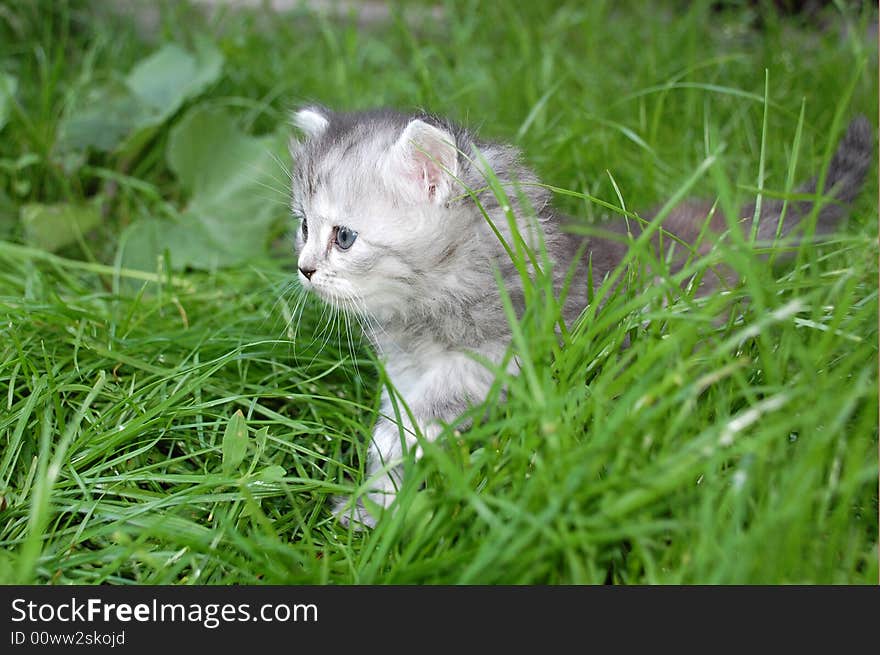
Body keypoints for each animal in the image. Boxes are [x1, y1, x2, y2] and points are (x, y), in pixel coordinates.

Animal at [290, 106, 872, 528]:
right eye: (303, 227)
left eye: (344, 237)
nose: (304, 269)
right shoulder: (405, 375)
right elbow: (390, 431)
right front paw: (372, 501)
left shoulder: (494, 364)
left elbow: (417, 428)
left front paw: (377, 500)